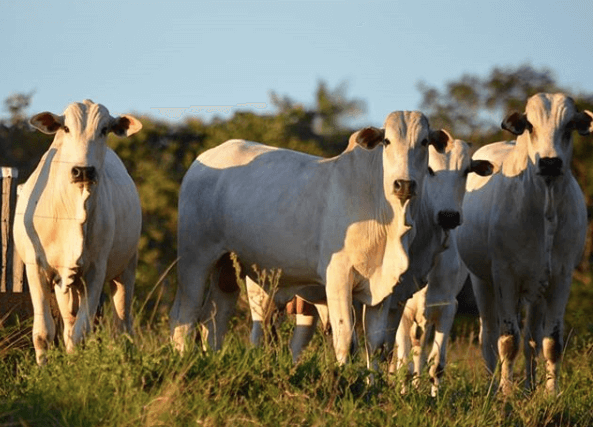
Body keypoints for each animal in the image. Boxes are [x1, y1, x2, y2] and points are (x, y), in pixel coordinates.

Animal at [13, 99, 143, 364]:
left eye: (104, 129)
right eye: (66, 128)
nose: (83, 171)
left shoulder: (95, 271)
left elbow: (81, 333)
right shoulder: (35, 267)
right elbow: (44, 332)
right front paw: (44, 369)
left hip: (126, 268)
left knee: (122, 324)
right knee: (68, 324)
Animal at [169, 110, 446, 364]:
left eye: (424, 142)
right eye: (387, 141)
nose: (404, 184)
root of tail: (205, 158)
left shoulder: (383, 289)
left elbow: (376, 346)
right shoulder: (338, 277)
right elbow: (346, 339)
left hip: (226, 264)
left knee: (215, 316)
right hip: (196, 258)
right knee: (186, 313)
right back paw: (181, 359)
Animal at [386, 139, 492, 396]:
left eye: (466, 170)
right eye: (430, 169)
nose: (448, 216)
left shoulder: (447, 308)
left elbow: (436, 365)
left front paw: (433, 398)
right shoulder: (402, 308)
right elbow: (404, 363)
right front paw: (403, 395)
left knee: (420, 353)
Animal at [456, 93, 588, 394]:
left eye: (569, 126)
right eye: (530, 126)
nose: (550, 162)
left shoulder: (560, 278)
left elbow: (551, 343)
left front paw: (551, 393)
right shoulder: (504, 276)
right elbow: (508, 341)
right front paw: (505, 393)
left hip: (535, 289)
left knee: (531, 338)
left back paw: (529, 386)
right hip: (482, 281)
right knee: (489, 336)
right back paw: (493, 386)